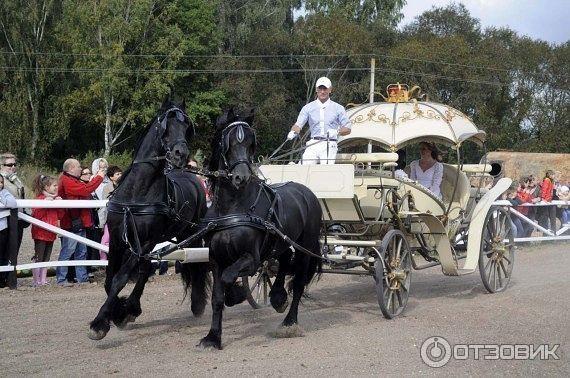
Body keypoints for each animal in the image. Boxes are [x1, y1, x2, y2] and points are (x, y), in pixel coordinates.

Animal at [90, 99, 210, 342]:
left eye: (186, 127)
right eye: (165, 126)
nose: (180, 154)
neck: (136, 193)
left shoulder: (144, 242)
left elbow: (120, 278)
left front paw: (101, 322)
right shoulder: (117, 240)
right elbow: (110, 280)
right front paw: (119, 312)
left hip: (187, 233)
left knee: (195, 263)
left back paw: (197, 302)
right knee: (146, 268)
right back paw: (132, 307)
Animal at [196, 108, 320, 350]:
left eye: (251, 143)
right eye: (228, 142)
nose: (241, 177)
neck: (233, 207)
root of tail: (308, 193)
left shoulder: (251, 259)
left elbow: (228, 278)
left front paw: (236, 295)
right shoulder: (215, 258)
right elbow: (217, 298)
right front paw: (213, 337)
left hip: (304, 249)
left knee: (298, 283)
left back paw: (289, 321)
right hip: (282, 244)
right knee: (283, 263)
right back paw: (278, 297)